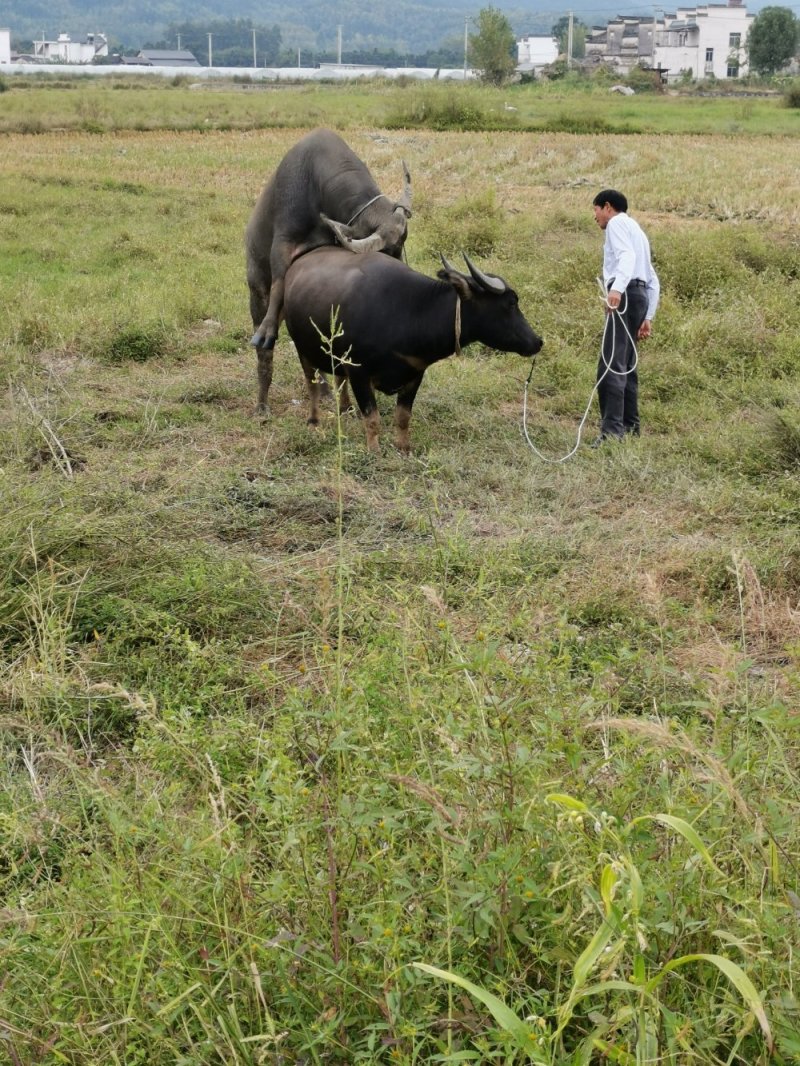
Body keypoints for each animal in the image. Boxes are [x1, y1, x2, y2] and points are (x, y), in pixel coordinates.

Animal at [246, 126, 413, 413]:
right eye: (384, 251)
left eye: (401, 245)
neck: (317, 183)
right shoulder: (283, 241)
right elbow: (279, 283)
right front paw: (266, 332)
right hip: (256, 291)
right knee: (265, 352)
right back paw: (262, 405)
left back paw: (324, 391)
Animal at [281, 247, 546, 451]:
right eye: (511, 303)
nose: (537, 341)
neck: (409, 311)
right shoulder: (359, 372)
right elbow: (373, 417)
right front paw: (374, 450)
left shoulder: (415, 373)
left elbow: (403, 416)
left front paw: (404, 447)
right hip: (302, 350)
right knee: (312, 385)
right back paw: (314, 420)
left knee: (338, 379)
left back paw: (345, 410)